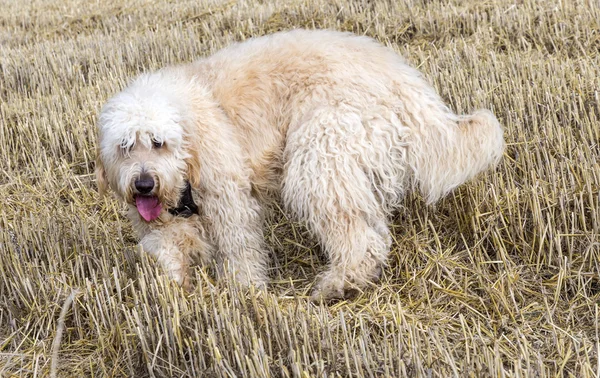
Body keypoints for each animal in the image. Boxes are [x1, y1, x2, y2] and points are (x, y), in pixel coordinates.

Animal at [95, 28, 506, 302]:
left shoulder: (229, 202)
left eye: (158, 143)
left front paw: (245, 295)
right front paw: (176, 288)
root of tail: (401, 77)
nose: (144, 184)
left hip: (321, 159)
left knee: (361, 239)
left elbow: (241, 250)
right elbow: (166, 250)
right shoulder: (167, 221)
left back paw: (338, 284)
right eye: (125, 147)